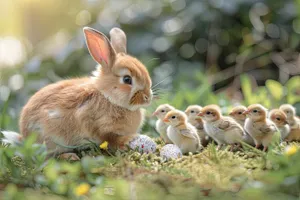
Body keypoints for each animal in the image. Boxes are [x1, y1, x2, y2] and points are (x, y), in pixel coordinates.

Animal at [4, 27, 154, 157]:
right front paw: (132, 140)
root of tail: (24, 138)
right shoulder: (99, 127)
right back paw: (70, 156)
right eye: (127, 79)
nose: (147, 98)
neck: (108, 97)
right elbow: (111, 139)